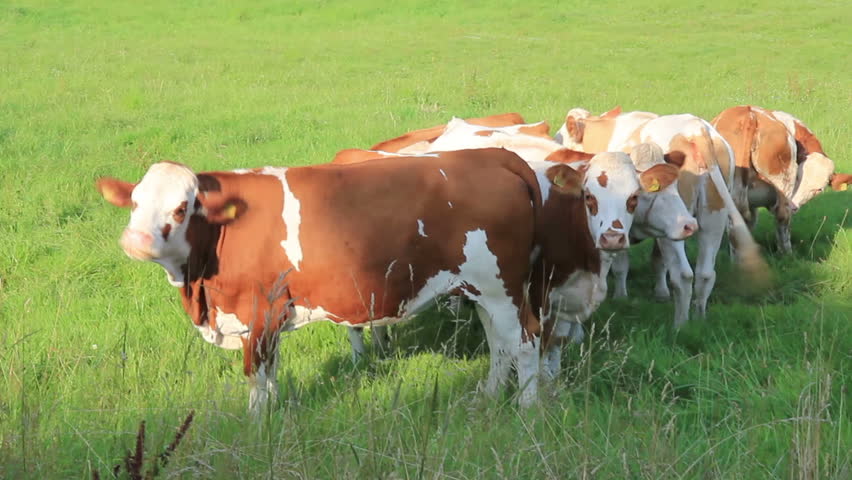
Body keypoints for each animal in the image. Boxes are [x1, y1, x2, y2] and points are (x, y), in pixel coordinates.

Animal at [98, 149, 552, 408]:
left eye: (180, 208)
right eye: (134, 202)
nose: (135, 240)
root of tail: (493, 155)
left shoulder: (261, 309)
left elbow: (256, 373)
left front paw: (257, 423)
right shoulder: (266, 319)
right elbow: (272, 370)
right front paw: (275, 412)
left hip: (505, 289)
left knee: (526, 341)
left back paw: (527, 408)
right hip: (484, 290)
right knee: (499, 343)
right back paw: (488, 395)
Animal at [556, 108, 768, 326]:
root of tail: (696, 130)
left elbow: (621, 264)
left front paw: (620, 297)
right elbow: (658, 261)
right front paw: (661, 293)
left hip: (679, 224)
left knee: (683, 275)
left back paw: (680, 325)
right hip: (714, 217)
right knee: (705, 274)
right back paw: (699, 319)